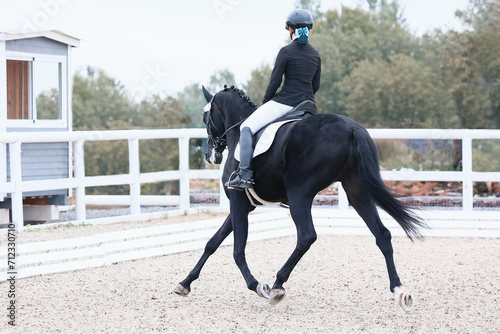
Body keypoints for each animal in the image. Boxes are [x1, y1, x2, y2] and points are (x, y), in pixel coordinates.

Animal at [174, 86, 428, 310]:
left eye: (206, 117)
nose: (210, 155)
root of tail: (351, 128)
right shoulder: (246, 206)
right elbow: (212, 242)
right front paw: (184, 284)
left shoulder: (238, 201)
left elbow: (237, 250)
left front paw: (258, 286)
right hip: (357, 192)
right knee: (382, 235)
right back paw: (399, 291)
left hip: (300, 193)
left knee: (306, 236)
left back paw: (277, 285)